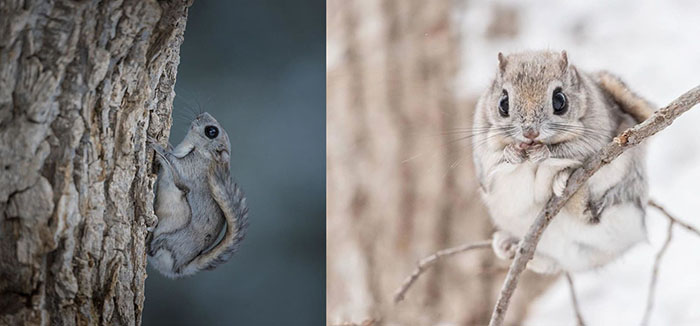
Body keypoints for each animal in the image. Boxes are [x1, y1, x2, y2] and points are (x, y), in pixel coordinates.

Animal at [145, 111, 249, 278]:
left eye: (211, 131)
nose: (201, 115)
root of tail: (179, 268)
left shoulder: (190, 171)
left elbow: (173, 163)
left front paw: (155, 144)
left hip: (169, 240)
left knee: (153, 248)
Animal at [470, 50, 656, 276]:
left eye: (560, 100)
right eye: (503, 103)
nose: (530, 133)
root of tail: (576, 262)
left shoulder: (595, 135)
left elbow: (566, 150)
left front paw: (544, 153)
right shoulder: (484, 153)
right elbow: (497, 163)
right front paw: (512, 153)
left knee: (590, 215)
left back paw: (567, 183)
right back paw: (507, 246)